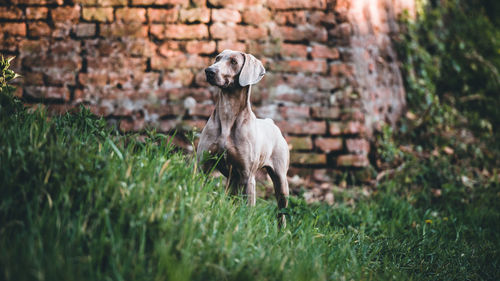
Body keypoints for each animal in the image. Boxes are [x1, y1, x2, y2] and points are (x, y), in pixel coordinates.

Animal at [196, 49, 290, 225]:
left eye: (233, 62)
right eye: (217, 58)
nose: (209, 71)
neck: (228, 115)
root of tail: (271, 122)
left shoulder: (248, 176)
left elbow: (248, 209)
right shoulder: (203, 165)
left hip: (281, 180)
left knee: (282, 212)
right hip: (233, 179)